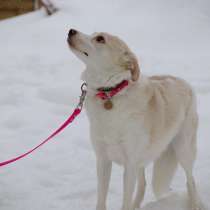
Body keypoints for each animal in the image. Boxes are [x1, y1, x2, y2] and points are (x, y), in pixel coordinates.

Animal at [67, 29, 202, 210]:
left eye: (100, 39)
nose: (71, 30)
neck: (111, 92)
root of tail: (183, 82)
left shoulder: (130, 164)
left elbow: (125, 202)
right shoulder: (103, 160)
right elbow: (101, 199)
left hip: (183, 150)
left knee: (191, 181)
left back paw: (194, 204)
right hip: (143, 159)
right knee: (143, 185)